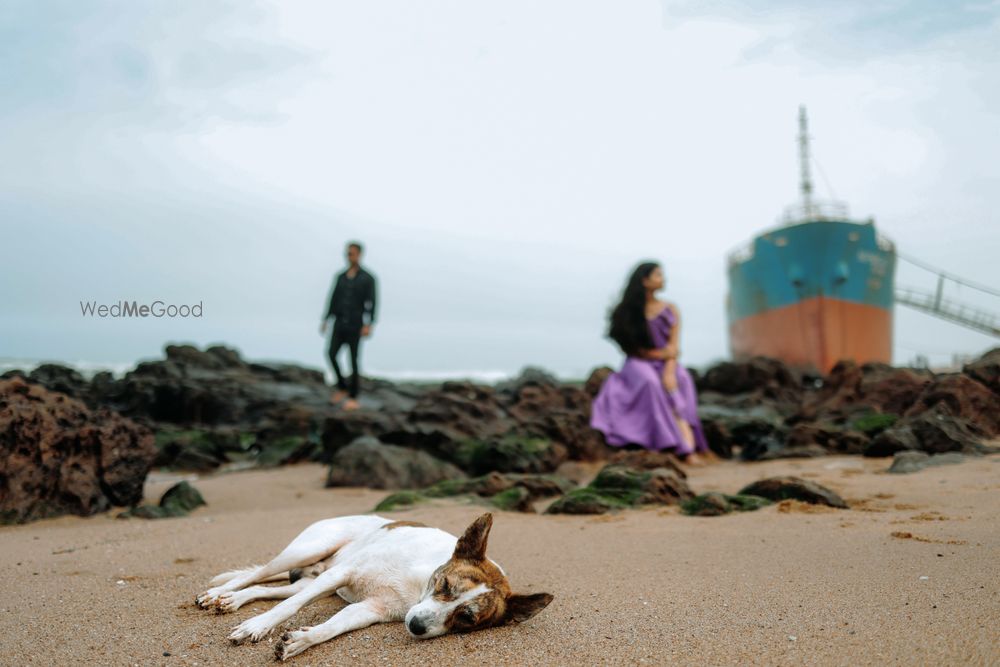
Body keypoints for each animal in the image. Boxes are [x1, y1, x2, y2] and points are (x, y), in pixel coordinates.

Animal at [195, 516, 556, 660]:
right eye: (444, 585)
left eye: (467, 619)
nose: (416, 626)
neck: (417, 586)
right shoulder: (343, 573)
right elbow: (289, 608)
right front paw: (258, 626)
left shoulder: (368, 609)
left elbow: (331, 628)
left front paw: (300, 641)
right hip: (308, 551)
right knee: (261, 576)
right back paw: (219, 592)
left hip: (315, 578)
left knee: (267, 590)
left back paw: (231, 599)